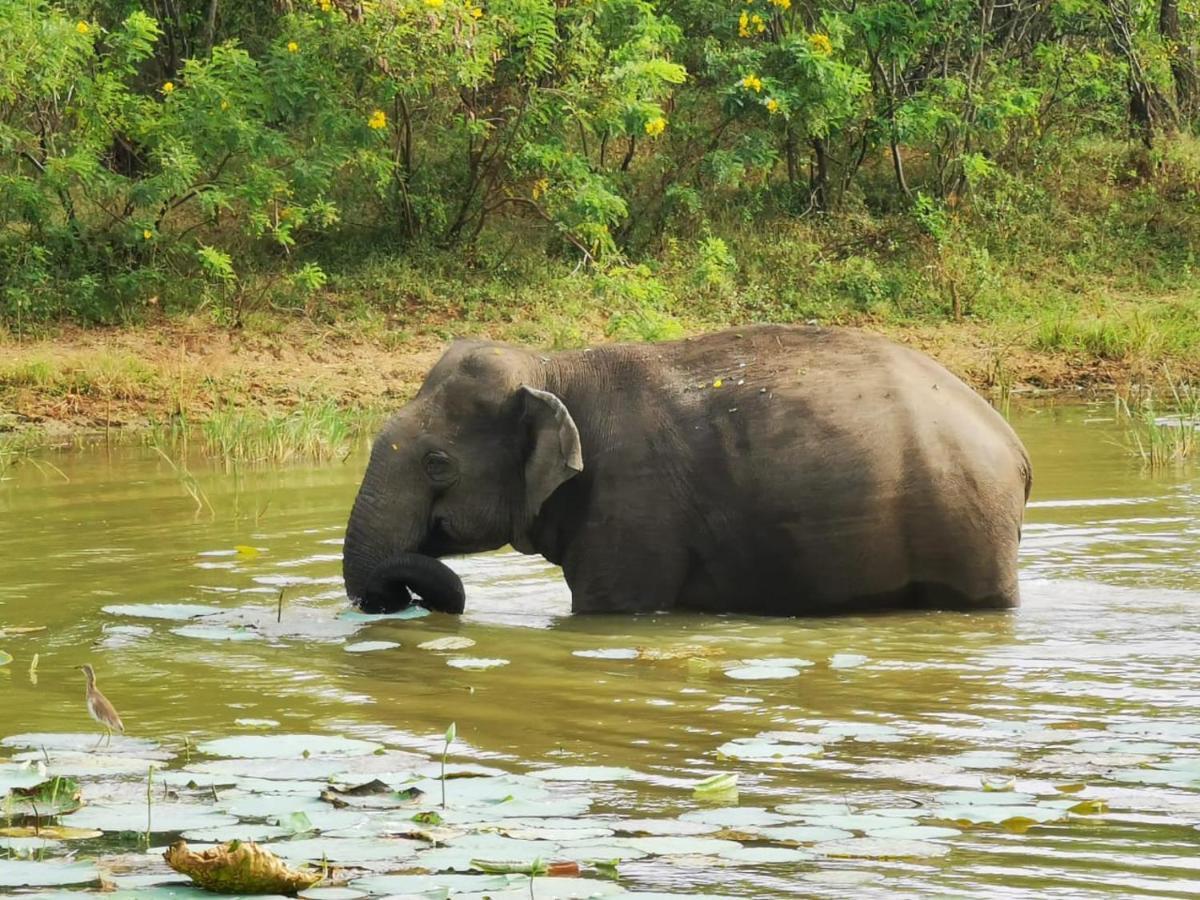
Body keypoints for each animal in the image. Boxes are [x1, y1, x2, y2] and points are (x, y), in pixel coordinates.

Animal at [345, 326, 1032, 619]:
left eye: (438, 464)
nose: (390, 602)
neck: (554, 365)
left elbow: (609, 609)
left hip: (968, 525)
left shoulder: (632, 506)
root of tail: (1014, 447)